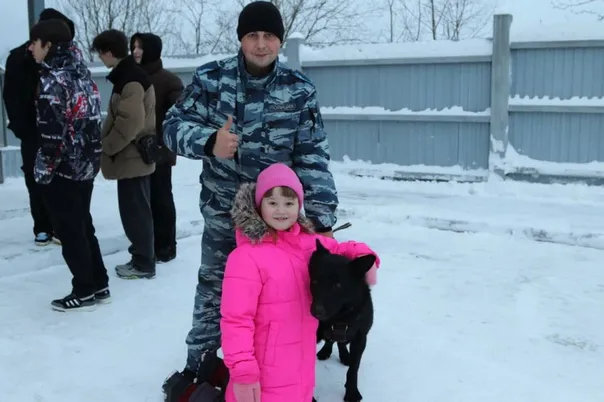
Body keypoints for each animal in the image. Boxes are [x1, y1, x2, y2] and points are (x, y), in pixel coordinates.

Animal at [309, 239, 376, 402]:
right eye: (315, 281)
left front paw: (352, 392)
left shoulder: (360, 339)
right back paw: (326, 351)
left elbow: (353, 369)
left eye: (338, 285)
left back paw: (345, 355)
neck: (338, 318)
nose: (317, 311)